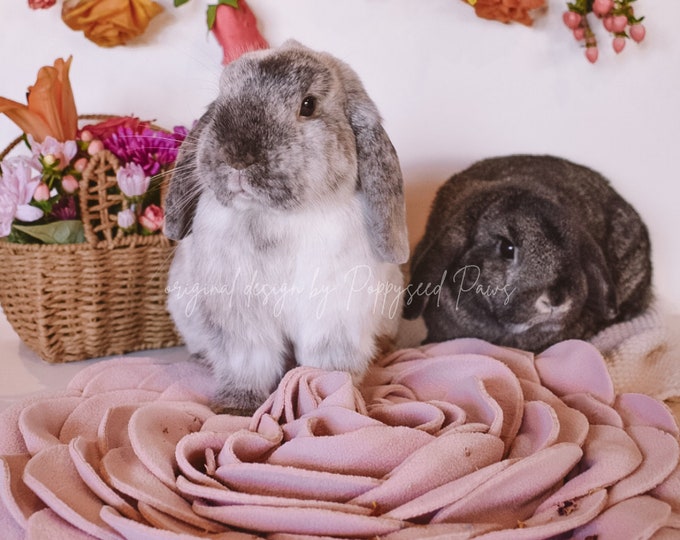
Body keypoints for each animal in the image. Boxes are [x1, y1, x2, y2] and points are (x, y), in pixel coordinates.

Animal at [164, 41, 409, 414]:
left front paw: (329, 401)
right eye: (221, 99)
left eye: (308, 105)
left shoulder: (335, 320)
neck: (276, 217)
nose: (237, 158)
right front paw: (236, 407)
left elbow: (325, 370)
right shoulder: (241, 321)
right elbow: (248, 363)